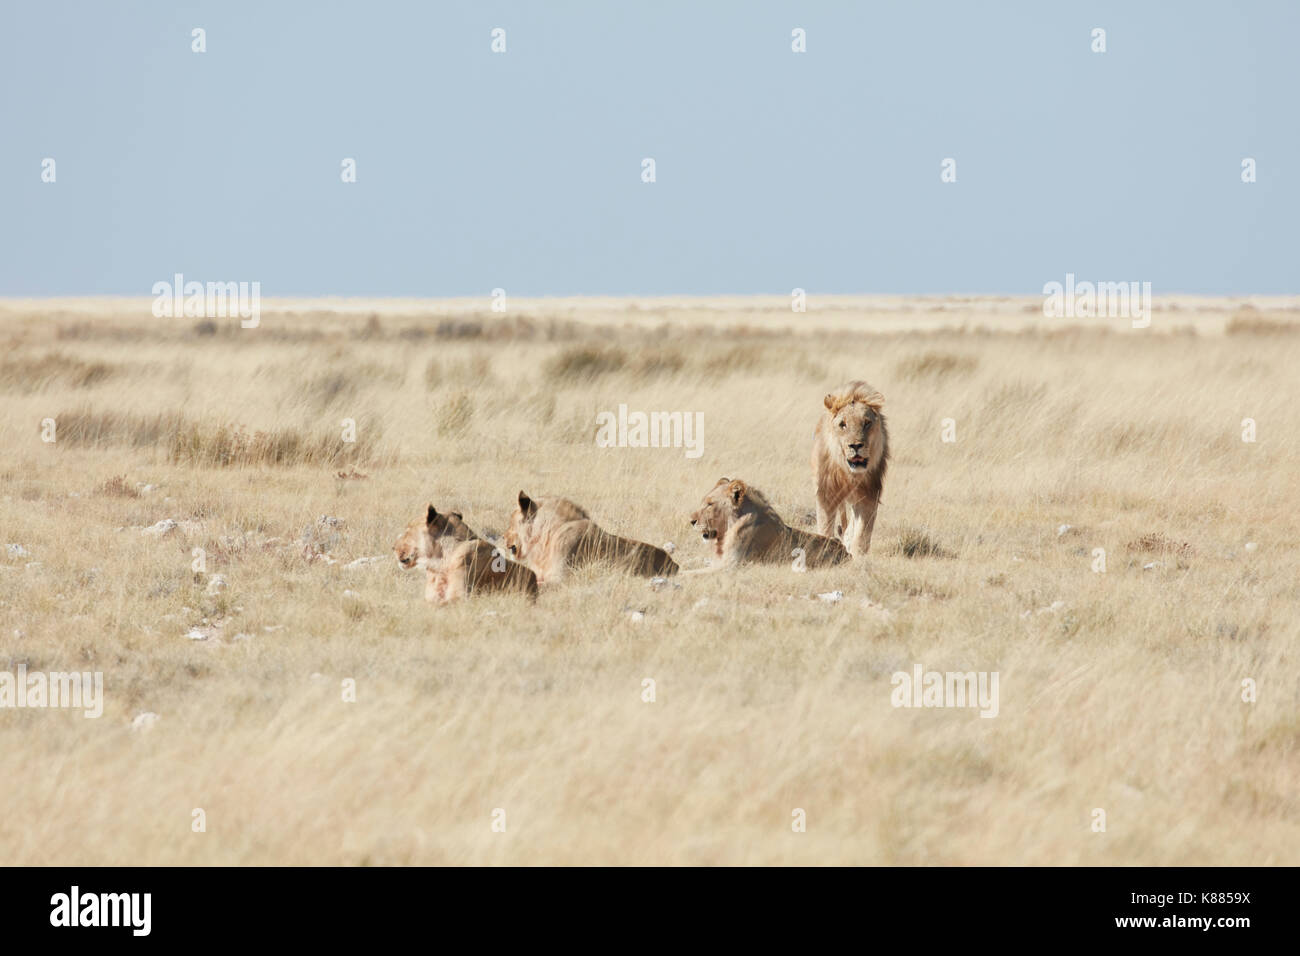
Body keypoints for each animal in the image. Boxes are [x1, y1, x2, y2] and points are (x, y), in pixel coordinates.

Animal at [812, 381, 890, 557]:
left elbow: (861, 534)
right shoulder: (827, 493)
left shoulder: (868, 495)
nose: (855, 445)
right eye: (843, 424)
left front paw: (857, 557)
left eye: (867, 423)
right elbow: (825, 527)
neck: (849, 474)